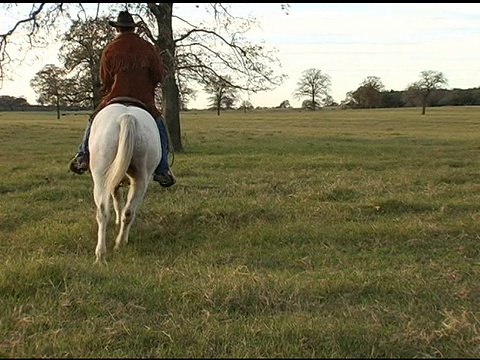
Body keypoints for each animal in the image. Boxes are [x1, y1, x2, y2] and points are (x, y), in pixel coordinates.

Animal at [87, 102, 160, 262]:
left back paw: (102, 252)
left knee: (104, 212)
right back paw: (116, 245)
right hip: (141, 179)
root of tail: (127, 117)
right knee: (126, 212)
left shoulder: (113, 183)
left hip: (101, 178)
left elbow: (117, 201)